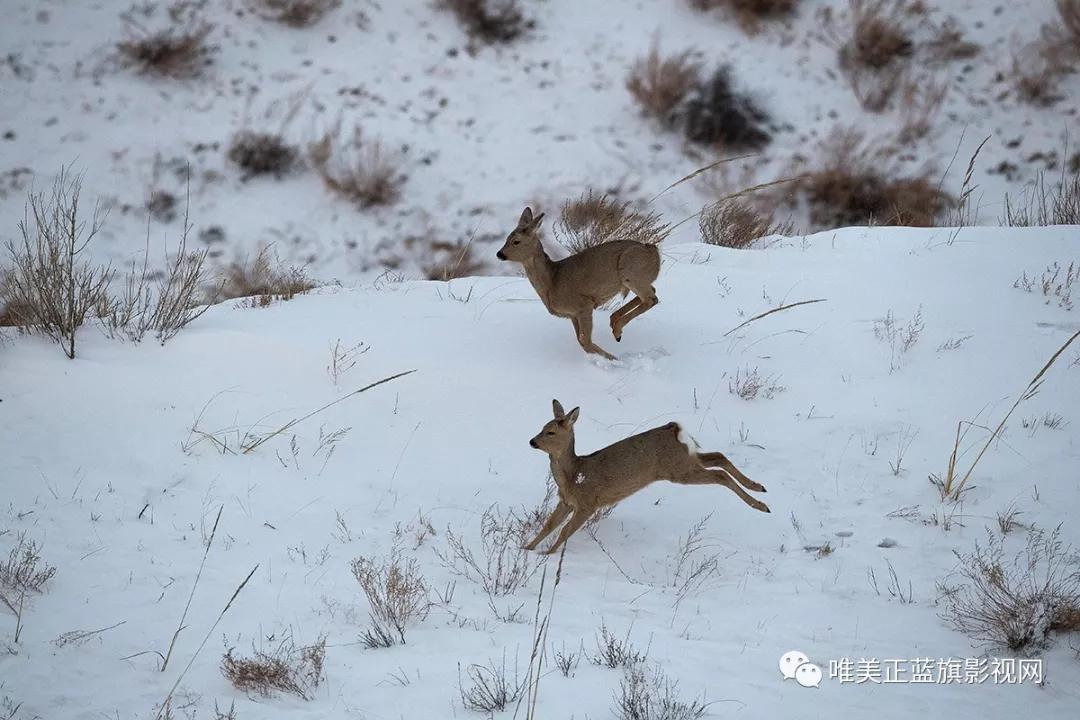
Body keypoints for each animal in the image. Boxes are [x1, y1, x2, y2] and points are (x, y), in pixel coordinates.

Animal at [494, 207, 656, 360]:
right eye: (507, 238)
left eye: (516, 241)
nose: (499, 254)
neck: (552, 281)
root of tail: (653, 251)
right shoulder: (572, 315)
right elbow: (581, 341)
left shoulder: (583, 304)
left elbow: (585, 340)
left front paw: (614, 360)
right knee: (650, 293)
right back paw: (614, 322)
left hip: (631, 270)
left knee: (651, 298)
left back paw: (617, 331)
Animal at [522, 397, 768, 557]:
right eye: (542, 427)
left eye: (551, 432)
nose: (532, 441)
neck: (573, 475)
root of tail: (673, 429)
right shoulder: (566, 502)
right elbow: (548, 525)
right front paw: (527, 548)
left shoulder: (587, 504)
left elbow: (564, 531)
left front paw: (546, 555)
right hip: (686, 460)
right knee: (718, 456)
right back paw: (759, 488)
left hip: (678, 469)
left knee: (719, 474)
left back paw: (761, 505)